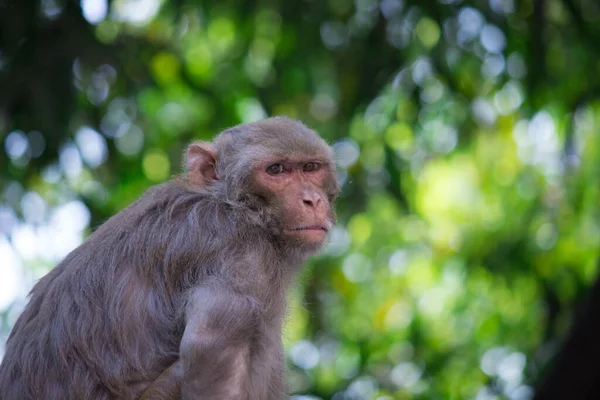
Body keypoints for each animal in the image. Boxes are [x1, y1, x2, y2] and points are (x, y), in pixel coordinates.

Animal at [0, 116, 338, 400]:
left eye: (311, 167)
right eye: (276, 170)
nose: (312, 199)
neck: (232, 205)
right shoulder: (245, 257)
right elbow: (209, 348)